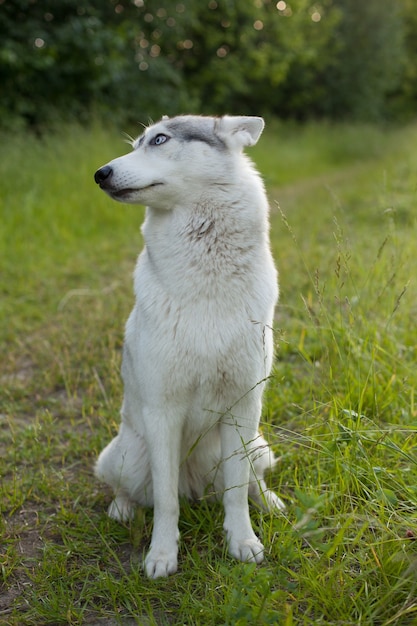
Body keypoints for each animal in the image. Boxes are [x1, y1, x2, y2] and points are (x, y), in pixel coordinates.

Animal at [93, 113, 284, 576]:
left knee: (251, 480)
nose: (100, 174)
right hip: (125, 455)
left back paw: (269, 502)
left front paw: (243, 542)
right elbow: (165, 502)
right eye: (137, 143)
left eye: (160, 140)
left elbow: (236, 493)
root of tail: (195, 485)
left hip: (257, 444)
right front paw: (162, 556)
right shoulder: (164, 413)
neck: (206, 280)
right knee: (132, 490)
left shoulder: (242, 406)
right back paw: (122, 510)